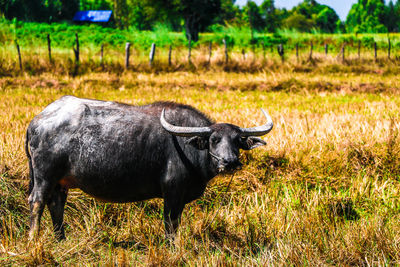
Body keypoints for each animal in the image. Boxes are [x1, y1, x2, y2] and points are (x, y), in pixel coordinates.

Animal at [25, 96, 272, 241]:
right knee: (37, 201)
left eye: (238, 140)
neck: (188, 146)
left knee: (56, 204)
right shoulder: (172, 192)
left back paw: (61, 239)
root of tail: (37, 121)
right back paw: (33, 239)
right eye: (214, 140)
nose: (229, 162)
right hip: (44, 176)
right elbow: (171, 223)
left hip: (60, 182)